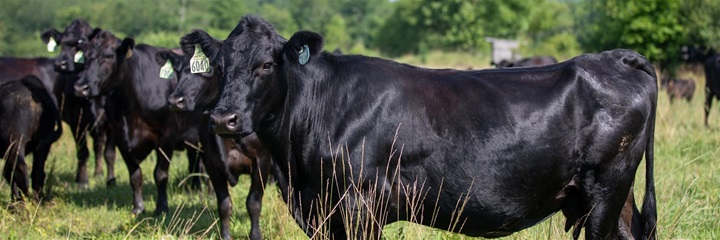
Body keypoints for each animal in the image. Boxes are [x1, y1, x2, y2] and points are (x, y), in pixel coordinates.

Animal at [40, 19, 116, 188]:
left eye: (80, 44)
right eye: (61, 43)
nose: (60, 64)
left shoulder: (111, 123)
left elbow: (109, 153)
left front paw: (111, 180)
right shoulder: (76, 121)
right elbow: (82, 152)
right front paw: (82, 181)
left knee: (99, 145)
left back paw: (99, 174)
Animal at [73, 30, 201, 216]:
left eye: (109, 56)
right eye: (85, 57)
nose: (80, 88)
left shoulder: (166, 137)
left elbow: (160, 174)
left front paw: (161, 207)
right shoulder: (121, 137)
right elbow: (135, 175)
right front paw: (138, 207)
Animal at [157, 49, 272, 239]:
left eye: (207, 71)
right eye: (178, 72)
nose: (175, 101)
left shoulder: (262, 161)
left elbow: (254, 203)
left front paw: (255, 235)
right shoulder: (212, 163)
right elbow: (224, 205)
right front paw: (225, 235)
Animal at [184, 15, 660, 240]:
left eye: (266, 65)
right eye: (219, 66)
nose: (222, 119)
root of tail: (612, 57)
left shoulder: (359, 206)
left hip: (605, 189)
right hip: (613, 196)